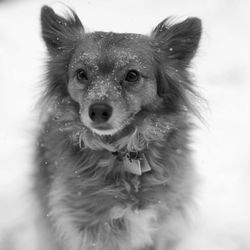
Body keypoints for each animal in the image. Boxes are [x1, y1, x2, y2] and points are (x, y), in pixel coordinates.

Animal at [35, 5, 201, 250]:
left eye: (132, 75)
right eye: (81, 74)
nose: (98, 110)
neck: (122, 153)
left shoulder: (161, 218)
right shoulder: (90, 226)